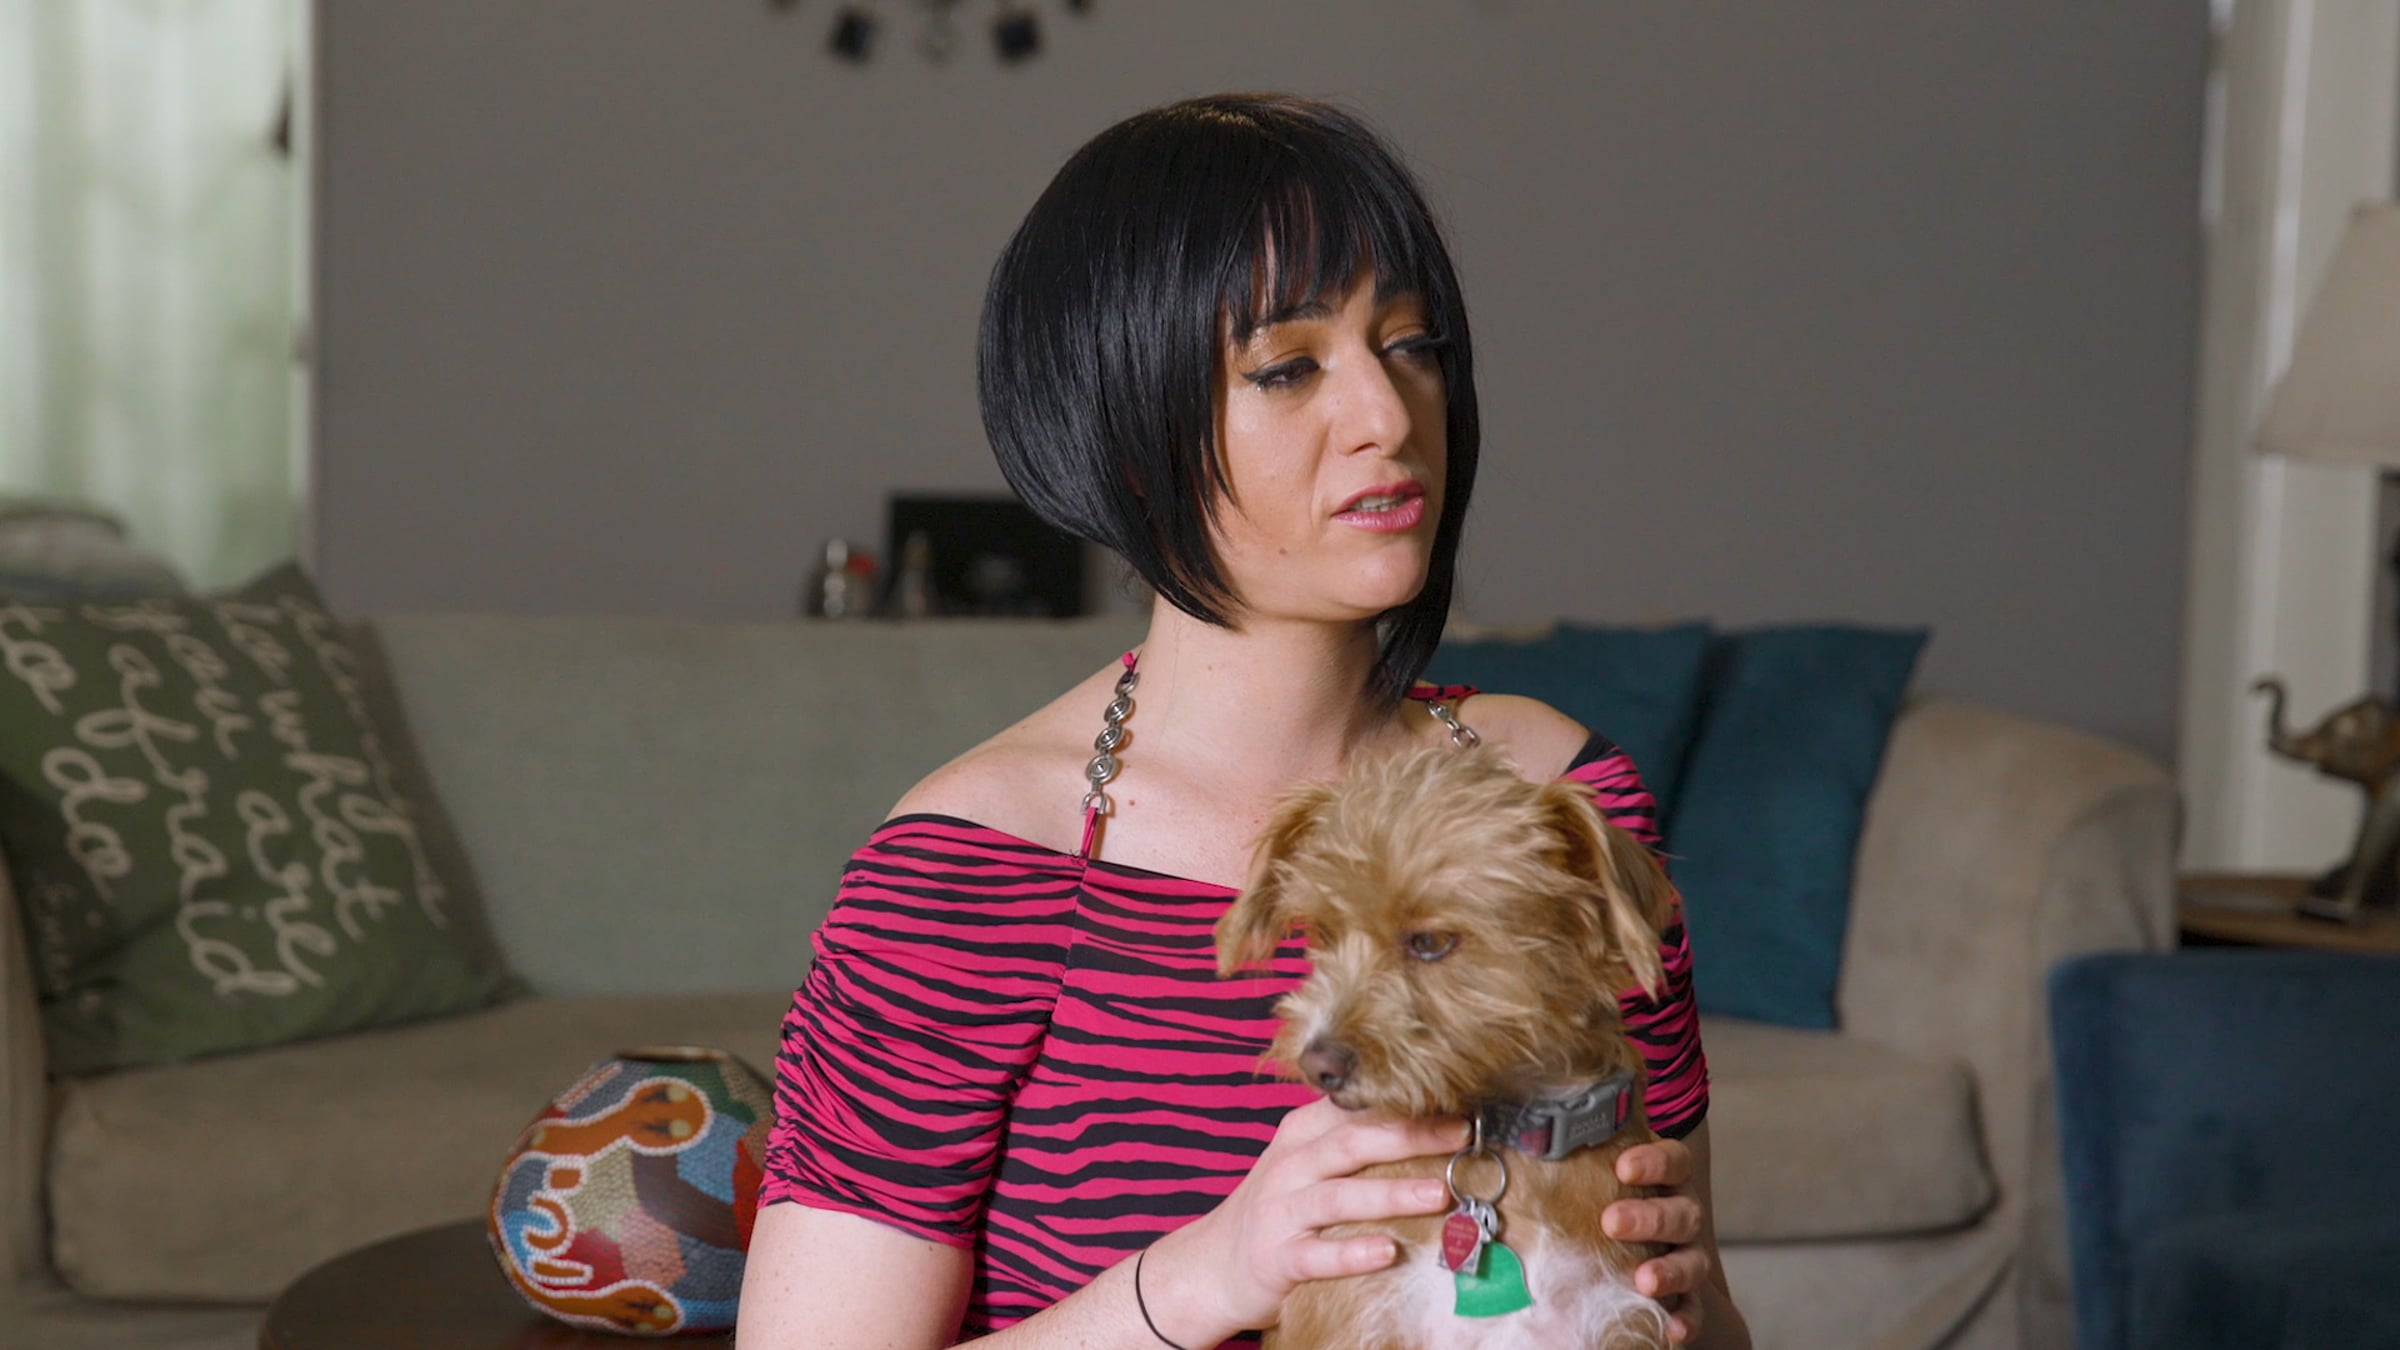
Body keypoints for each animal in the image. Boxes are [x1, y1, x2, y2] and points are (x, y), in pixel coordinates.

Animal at [1216, 742, 1683, 1350]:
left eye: (1431, 943)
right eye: (1324, 935)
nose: (1319, 1064)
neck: (1507, 1139)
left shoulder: (1617, 1318)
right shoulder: (1356, 1315)